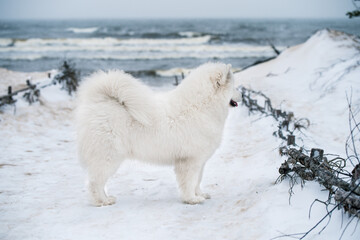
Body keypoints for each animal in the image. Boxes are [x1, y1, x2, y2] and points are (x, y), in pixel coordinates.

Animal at [76, 62, 239, 206]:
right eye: (234, 87)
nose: (241, 93)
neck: (199, 106)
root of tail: (99, 102)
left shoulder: (200, 161)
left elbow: (197, 181)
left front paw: (200, 195)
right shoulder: (190, 161)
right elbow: (190, 182)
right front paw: (192, 199)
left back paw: (107, 198)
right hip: (108, 157)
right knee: (95, 182)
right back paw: (102, 201)